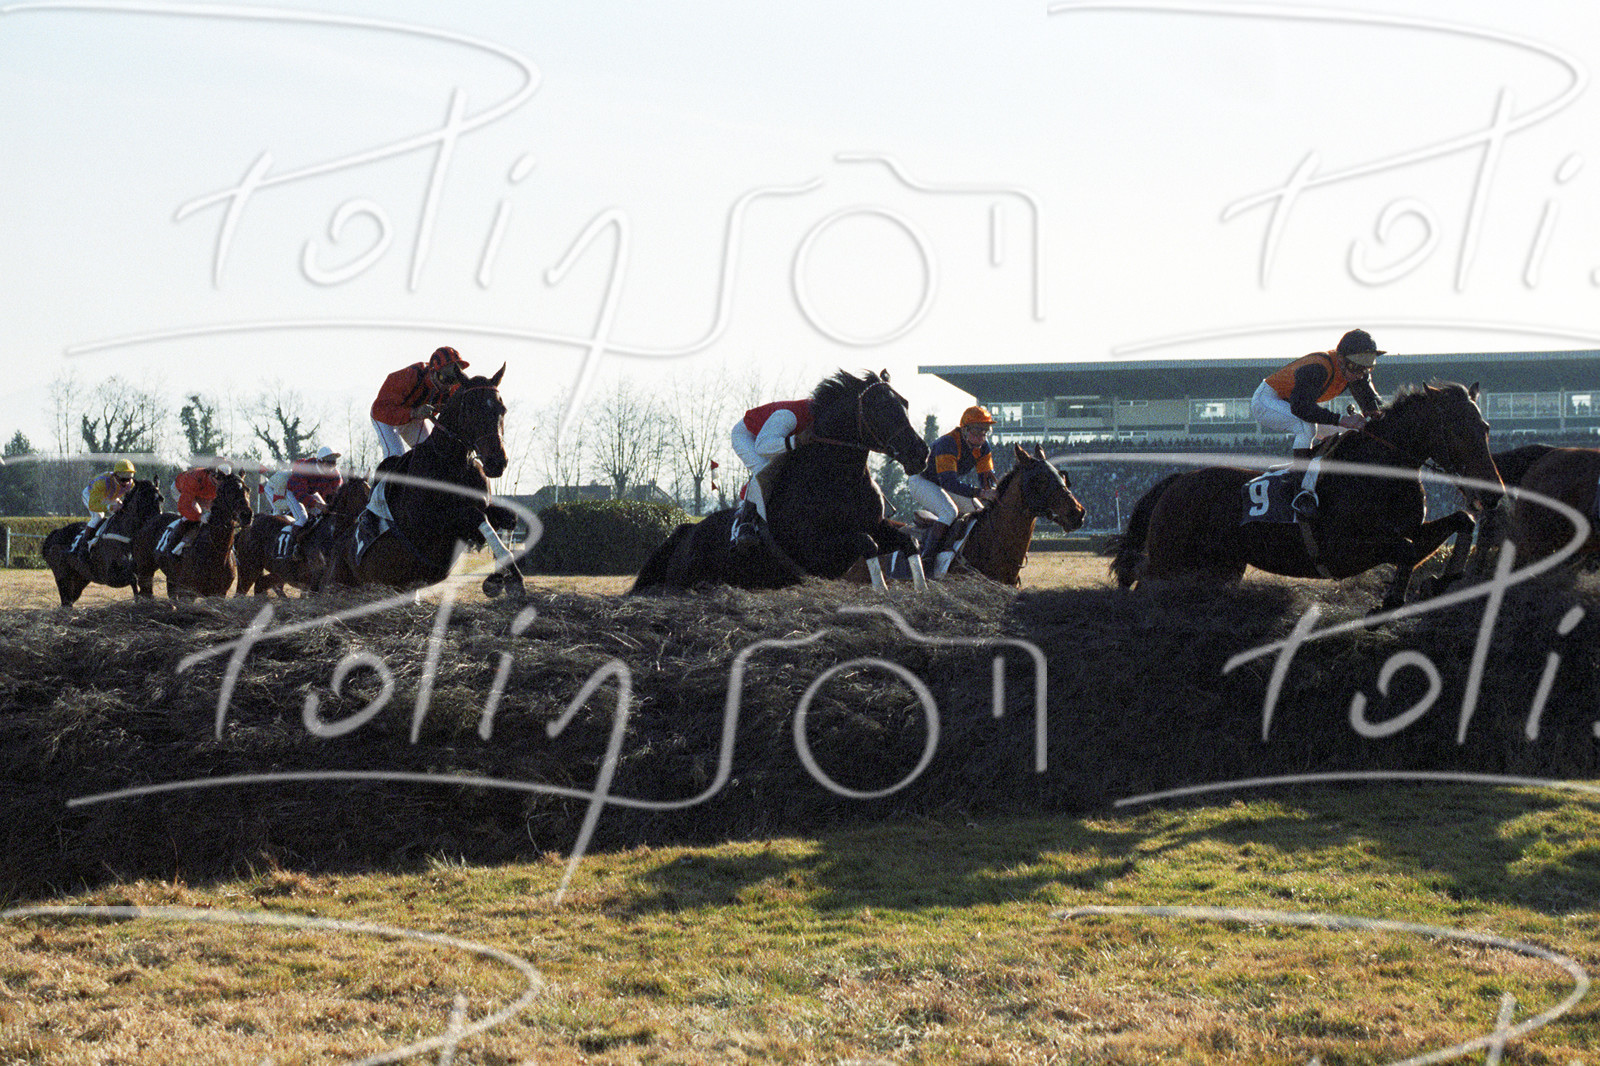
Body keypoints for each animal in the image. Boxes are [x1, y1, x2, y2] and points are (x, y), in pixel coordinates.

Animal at [133, 470, 255, 599]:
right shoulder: (188, 593)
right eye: (229, 490)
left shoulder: (219, 593)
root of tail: (150, 519)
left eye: (248, 490)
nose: (246, 515)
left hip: (171, 578)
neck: (216, 549)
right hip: (145, 570)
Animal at [235, 477, 371, 596]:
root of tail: (250, 523)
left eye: (370, 491)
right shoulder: (316, 580)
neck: (332, 533)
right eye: (360, 493)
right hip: (248, 568)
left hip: (278, 572)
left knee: (261, 584)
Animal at [326, 365, 526, 599]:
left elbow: (508, 519)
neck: (452, 461)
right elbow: (477, 517)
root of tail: (337, 546)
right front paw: (511, 578)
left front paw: (502, 577)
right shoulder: (428, 523)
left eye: (502, 409)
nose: (497, 462)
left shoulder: (481, 507)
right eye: (470, 409)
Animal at [631, 369, 930, 592]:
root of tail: (686, 532)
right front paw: (882, 589)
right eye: (881, 408)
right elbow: (867, 543)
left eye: (904, 403)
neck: (839, 480)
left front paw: (921, 590)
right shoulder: (813, 550)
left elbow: (908, 542)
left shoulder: (877, 525)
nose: (921, 453)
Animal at [1107, 382, 1504, 612]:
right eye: (1456, 430)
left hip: (1219, 568)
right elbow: (1406, 550)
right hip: (1170, 560)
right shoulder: (1343, 551)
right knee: (1143, 585)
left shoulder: (1409, 529)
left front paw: (1442, 581)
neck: (1379, 469)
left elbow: (1460, 521)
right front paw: (1395, 599)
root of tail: (1175, 481)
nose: (1493, 494)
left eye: (1485, 427)